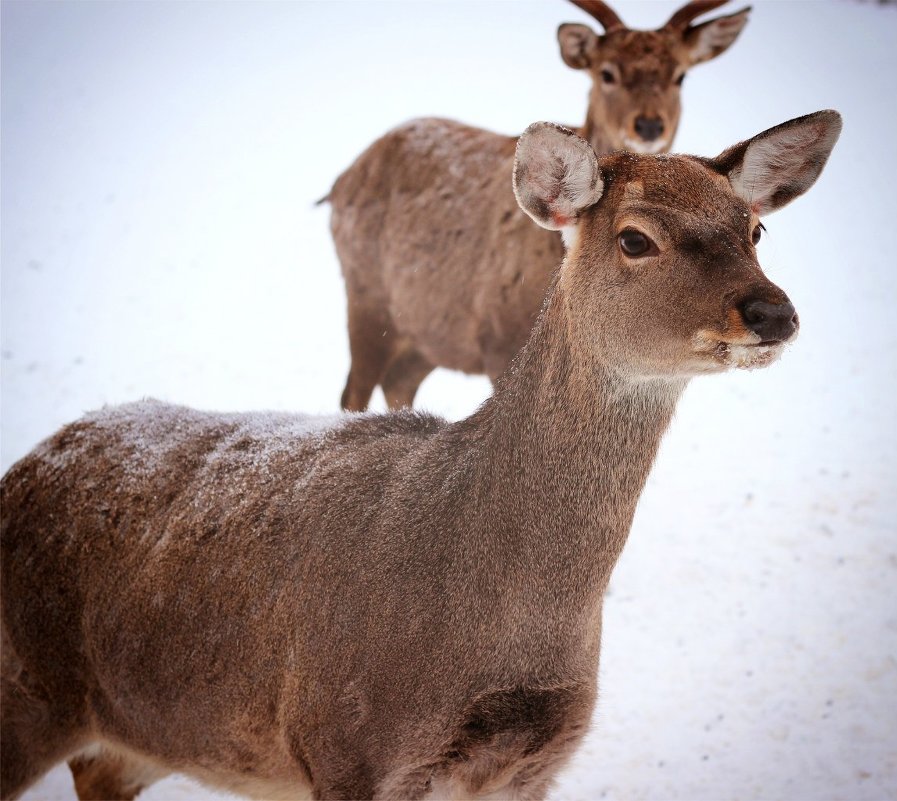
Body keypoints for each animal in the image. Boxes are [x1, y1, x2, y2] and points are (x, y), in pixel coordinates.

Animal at [1, 108, 840, 800]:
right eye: (635, 237)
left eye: (754, 229)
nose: (773, 311)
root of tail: (26, 465)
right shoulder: (345, 742)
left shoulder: (533, 763)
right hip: (24, 693)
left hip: (131, 739)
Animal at [328, 0, 748, 410]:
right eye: (606, 73)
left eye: (680, 75)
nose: (648, 125)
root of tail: (341, 182)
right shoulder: (498, 337)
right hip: (365, 295)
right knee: (354, 391)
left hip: (426, 333)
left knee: (398, 381)